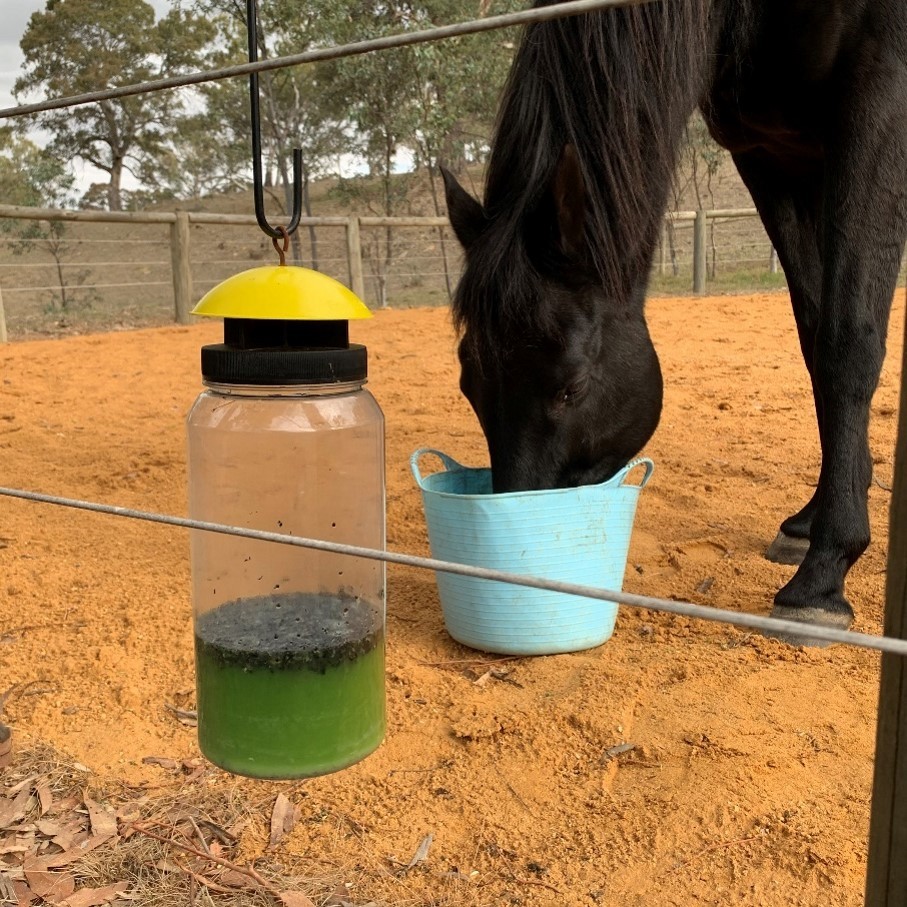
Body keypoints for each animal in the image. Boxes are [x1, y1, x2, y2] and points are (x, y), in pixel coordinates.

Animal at [441, 0, 907, 645]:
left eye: (571, 388)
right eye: (469, 387)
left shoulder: (879, 103)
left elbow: (847, 342)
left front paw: (823, 577)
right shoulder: (772, 156)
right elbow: (814, 337)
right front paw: (812, 523)